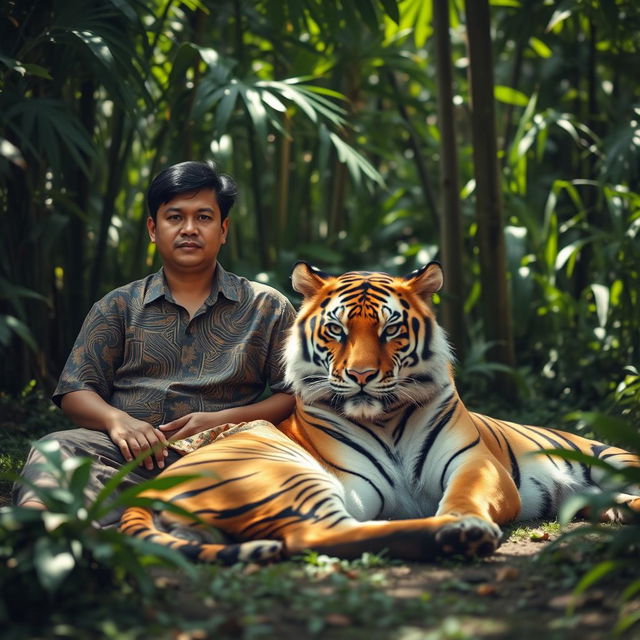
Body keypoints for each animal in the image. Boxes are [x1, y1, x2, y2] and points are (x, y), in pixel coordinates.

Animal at [121, 262, 640, 564]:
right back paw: (453, 538)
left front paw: (463, 518)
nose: (362, 375)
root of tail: (142, 493)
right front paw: (462, 528)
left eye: (392, 330)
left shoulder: (474, 463)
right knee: (317, 535)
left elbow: (464, 496)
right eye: (335, 330)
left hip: (613, 460)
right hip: (280, 477)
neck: (386, 421)